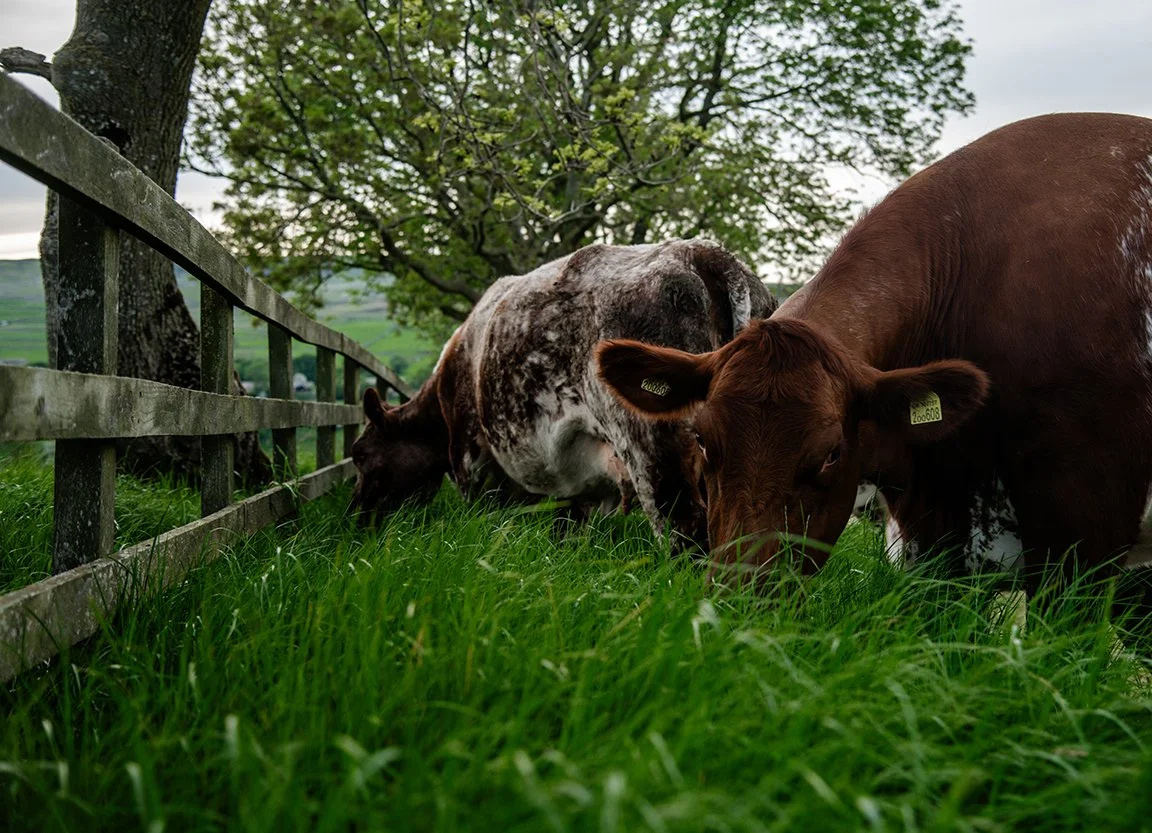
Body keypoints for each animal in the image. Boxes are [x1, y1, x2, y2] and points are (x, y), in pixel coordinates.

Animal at [350, 238, 777, 552]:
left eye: (360, 455)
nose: (355, 517)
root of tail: (707, 254)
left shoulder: (472, 463)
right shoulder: (577, 488)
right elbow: (566, 529)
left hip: (652, 444)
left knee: (685, 528)